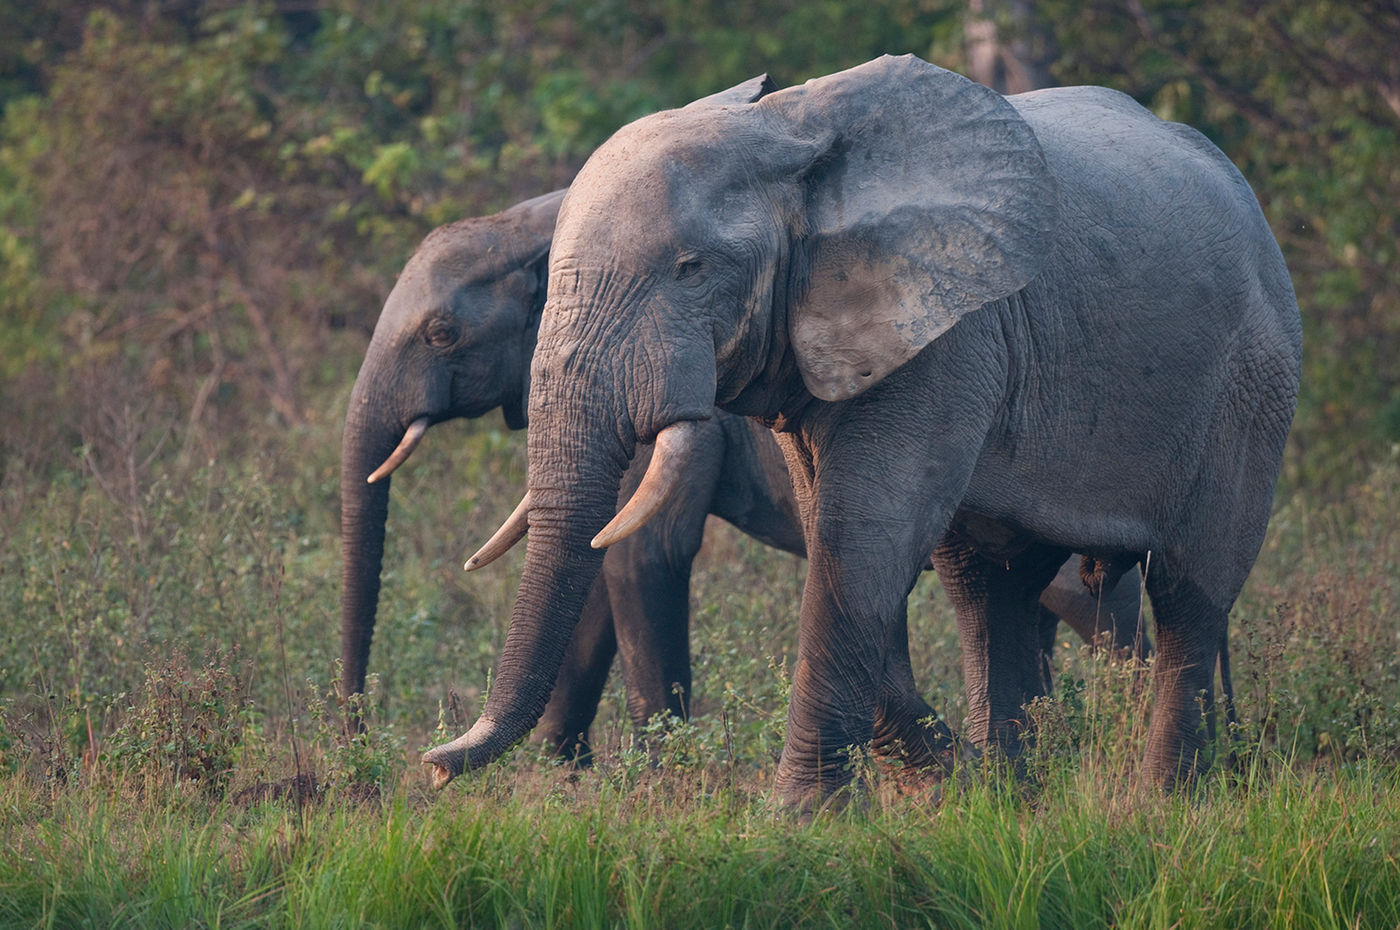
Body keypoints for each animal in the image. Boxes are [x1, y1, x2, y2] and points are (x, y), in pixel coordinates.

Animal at [341, 182, 1148, 761]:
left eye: (442, 333)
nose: (361, 741)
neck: (534, 219)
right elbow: (599, 575)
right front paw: (560, 779)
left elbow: (641, 554)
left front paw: (657, 787)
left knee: (1104, 615)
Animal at [425, 54, 1299, 806]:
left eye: (691, 270)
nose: (431, 762)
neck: (784, 134)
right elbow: (833, 528)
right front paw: (935, 783)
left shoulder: (949, 328)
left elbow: (864, 532)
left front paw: (801, 820)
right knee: (989, 590)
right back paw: (1009, 801)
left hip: (1252, 385)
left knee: (1188, 591)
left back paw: (1161, 801)